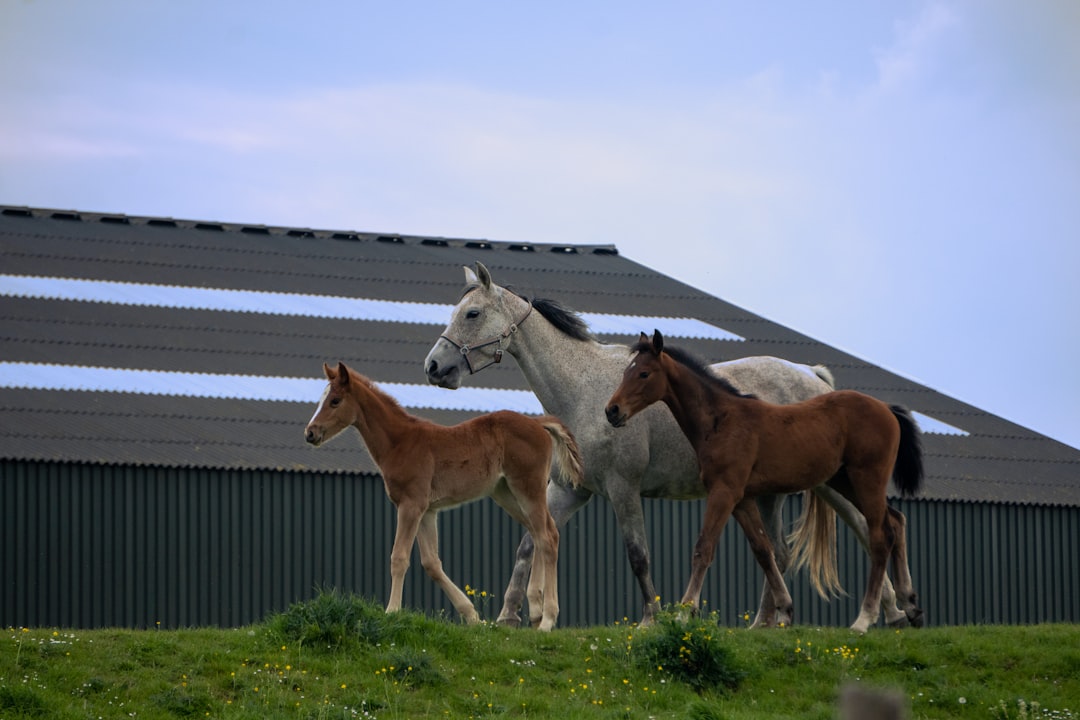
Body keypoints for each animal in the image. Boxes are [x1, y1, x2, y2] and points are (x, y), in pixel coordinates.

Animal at [304, 362, 583, 626]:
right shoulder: (427, 510)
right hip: (506, 493)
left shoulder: (411, 505)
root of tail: (537, 422)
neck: (400, 443)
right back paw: (536, 612)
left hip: (528, 487)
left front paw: (392, 612)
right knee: (540, 533)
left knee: (547, 536)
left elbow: (399, 557)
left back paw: (548, 619)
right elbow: (431, 563)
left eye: (335, 400)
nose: (310, 433)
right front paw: (472, 616)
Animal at [604, 332, 924, 630]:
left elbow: (703, 548)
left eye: (644, 373)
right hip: (844, 481)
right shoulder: (742, 499)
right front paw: (785, 610)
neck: (721, 420)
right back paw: (910, 606)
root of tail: (886, 409)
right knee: (896, 521)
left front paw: (685, 611)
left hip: (866, 479)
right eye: (626, 372)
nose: (612, 410)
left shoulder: (724, 492)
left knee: (880, 536)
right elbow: (763, 550)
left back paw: (864, 619)